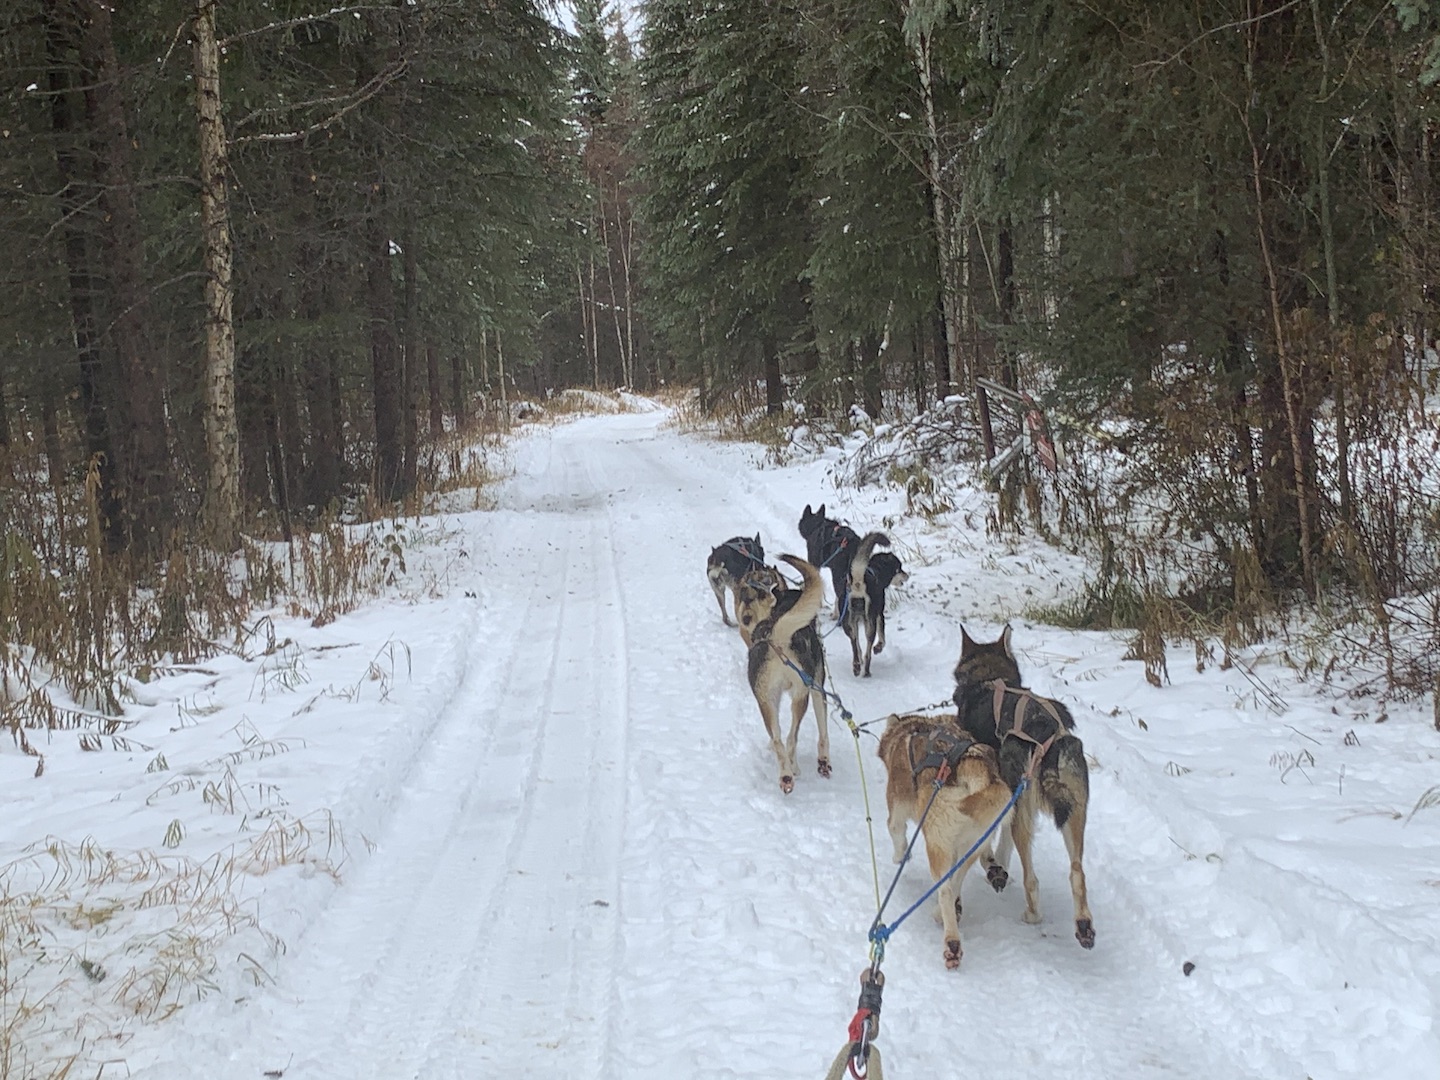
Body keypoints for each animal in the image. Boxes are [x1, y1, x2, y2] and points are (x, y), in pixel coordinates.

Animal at [744, 554, 831, 794]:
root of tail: (778, 638)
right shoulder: (818, 689)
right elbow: (823, 733)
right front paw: (824, 761)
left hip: (766, 699)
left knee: (778, 739)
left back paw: (785, 775)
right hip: (801, 696)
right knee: (791, 738)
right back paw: (794, 770)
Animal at [842, 532, 909, 677]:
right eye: (899, 569)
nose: (907, 575)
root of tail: (858, 584)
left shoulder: (857, 621)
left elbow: (858, 645)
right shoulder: (879, 615)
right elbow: (882, 637)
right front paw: (878, 648)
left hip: (848, 622)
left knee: (855, 643)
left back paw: (857, 665)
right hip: (870, 621)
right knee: (868, 652)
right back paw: (866, 671)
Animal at [877, 713, 1013, 968]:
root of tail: (974, 766)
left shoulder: (897, 806)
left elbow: (896, 831)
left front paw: (901, 856)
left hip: (937, 846)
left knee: (946, 890)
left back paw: (952, 944)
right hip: (972, 847)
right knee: (956, 881)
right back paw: (940, 913)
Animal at [951, 625, 1095, 949]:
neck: (990, 679)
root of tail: (1047, 736)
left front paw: (994, 868)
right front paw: (998, 868)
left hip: (1028, 809)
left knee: (1033, 880)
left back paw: (1032, 914)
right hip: (1074, 812)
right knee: (1077, 873)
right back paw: (1083, 926)